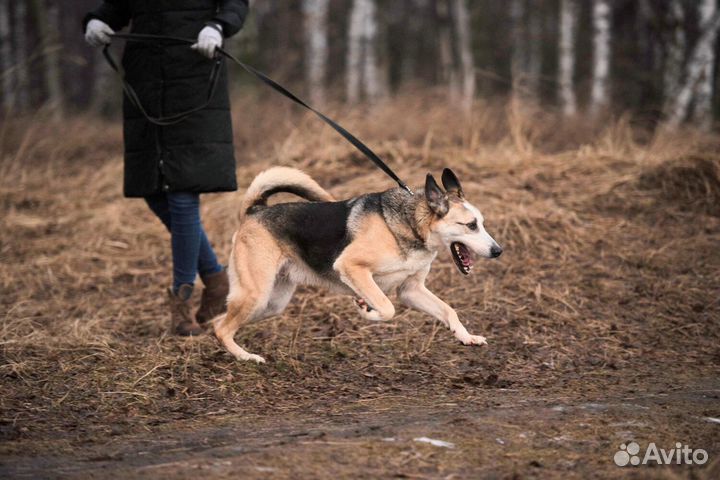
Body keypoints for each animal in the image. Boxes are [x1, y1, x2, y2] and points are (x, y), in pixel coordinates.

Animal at [212, 167, 500, 362]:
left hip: (271, 303)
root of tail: (254, 211)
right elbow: (386, 308)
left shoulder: (411, 291)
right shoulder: (351, 266)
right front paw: (367, 311)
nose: (498, 251)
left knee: (219, 322)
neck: (409, 224)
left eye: (482, 223)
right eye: (471, 225)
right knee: (222, 328)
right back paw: (246, 357)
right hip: (257, 295)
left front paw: (466, 337)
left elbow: (449, 311)